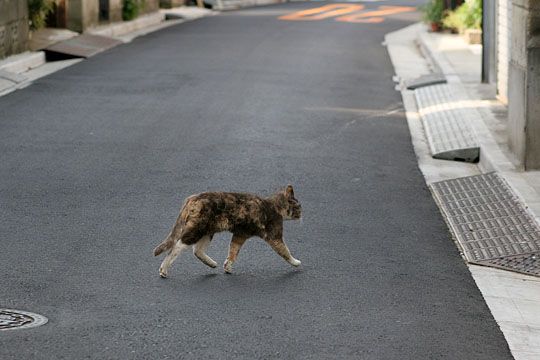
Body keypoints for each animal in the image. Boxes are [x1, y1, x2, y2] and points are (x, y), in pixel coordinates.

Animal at [154, 184, 302, 278]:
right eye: (299, 207)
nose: (302, 214)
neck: (275, 205)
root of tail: (191, 198)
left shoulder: (240, 234)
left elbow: (233, 252)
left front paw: (227, 267)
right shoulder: (275, 236)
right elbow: (285, 251)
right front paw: (296, 262)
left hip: (208, 231)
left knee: (197, 250)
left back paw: (212, 264)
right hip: (197, 229)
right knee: (177, 246)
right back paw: (163, 270)